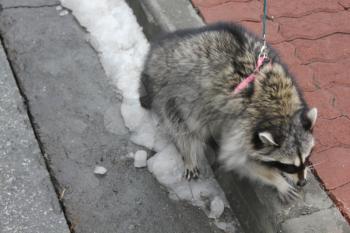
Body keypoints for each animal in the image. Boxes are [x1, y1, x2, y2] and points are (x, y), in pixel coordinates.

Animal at [139, 22, 318, 201]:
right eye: (288, 166)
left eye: (307, 157)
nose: (302, 183)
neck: (281, 113)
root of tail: (158, 52)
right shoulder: (242, 124)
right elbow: (237, 160)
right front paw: (277, 180)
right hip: (173, 92)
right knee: (183, 125)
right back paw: (189, 153)